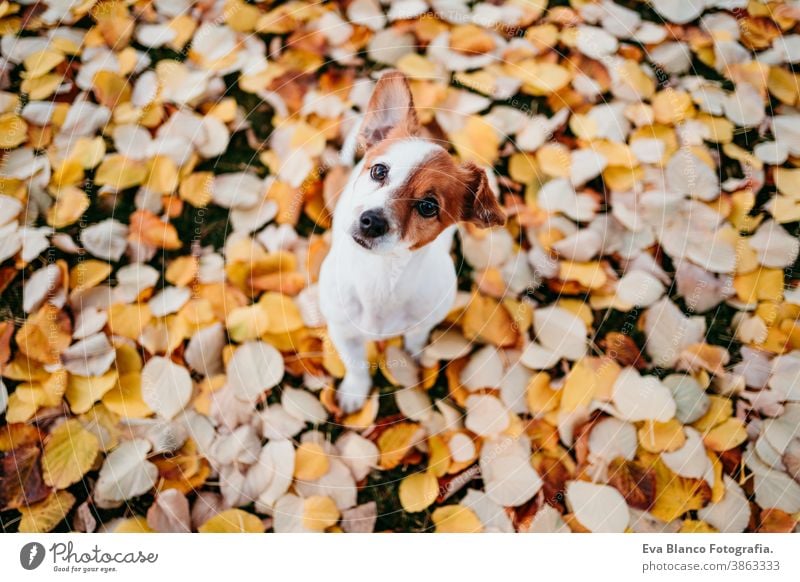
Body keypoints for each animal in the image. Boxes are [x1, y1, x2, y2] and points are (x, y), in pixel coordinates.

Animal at [318, 70, 500, 412]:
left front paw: (414, 357)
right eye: (379, 171)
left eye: (428, 206)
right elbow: (355, 364)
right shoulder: (343, 332)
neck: (380, 278)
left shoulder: (425, 320)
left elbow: (415, 338)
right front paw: (354, 392)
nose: (372, 221)